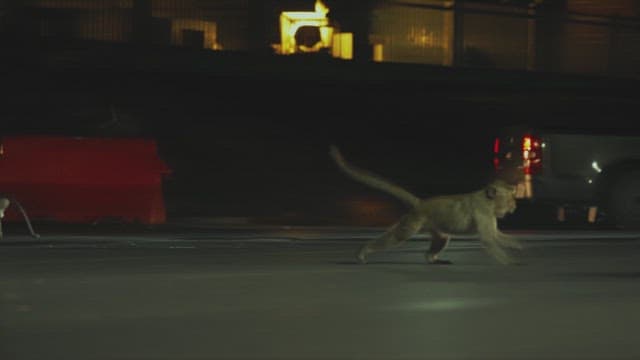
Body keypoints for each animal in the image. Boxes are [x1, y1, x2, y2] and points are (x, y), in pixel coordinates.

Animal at [330, 145, 524, 266]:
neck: (489, 201)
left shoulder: (491, 225)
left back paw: (437, 261)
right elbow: (492, 242)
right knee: (388, 238)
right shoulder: (484, 220)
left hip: (441, 236)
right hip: (407, 228)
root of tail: (420, 202)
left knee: (428, 252)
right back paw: (361, 253)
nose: (514, 206)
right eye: (511, 199)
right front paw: (510, 261)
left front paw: (518, 246)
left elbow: (502, 237)